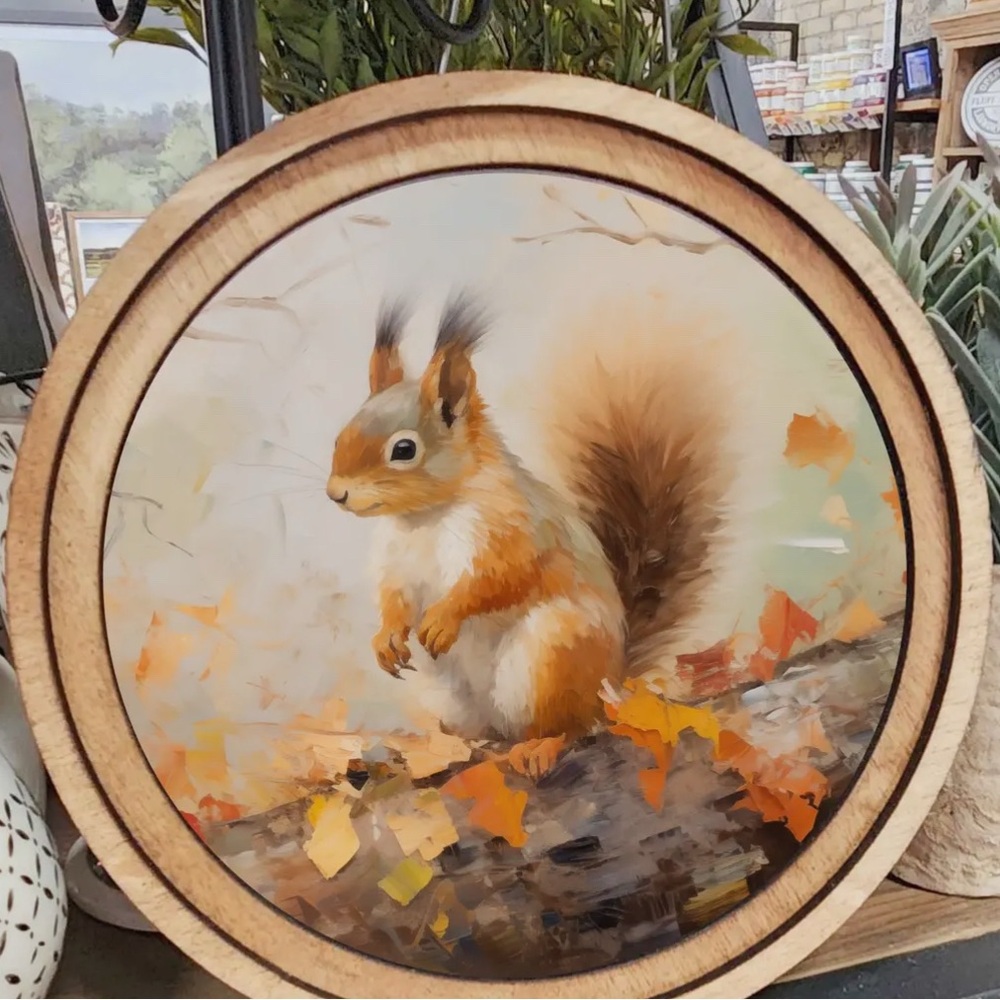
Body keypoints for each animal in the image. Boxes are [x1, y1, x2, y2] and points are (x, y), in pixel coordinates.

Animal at [327, 292, 741, 778]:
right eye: (340, 436)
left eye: (404, 449)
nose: (336, 493)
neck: (425, 517)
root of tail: (612, 686)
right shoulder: (396, 560)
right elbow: (395, 596)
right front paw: (387, 638)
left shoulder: (515, 530)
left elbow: (502, 578)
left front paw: (445, 617)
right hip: (448, 694)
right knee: (486, 734)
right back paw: (461, 750)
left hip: (552, 655)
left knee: (569, 725)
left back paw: (540, 746)